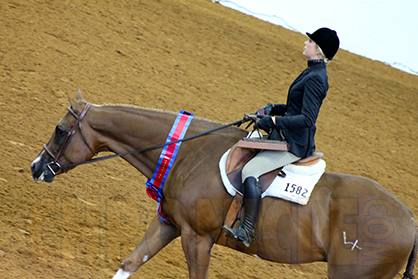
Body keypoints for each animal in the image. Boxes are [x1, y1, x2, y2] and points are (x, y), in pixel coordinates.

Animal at [31, 91, 416, 278]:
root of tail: (410, 222)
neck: (187, 151)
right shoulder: (169, 224)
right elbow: (130, 263)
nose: (36, 168)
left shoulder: (198, 238)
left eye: (61, 131)